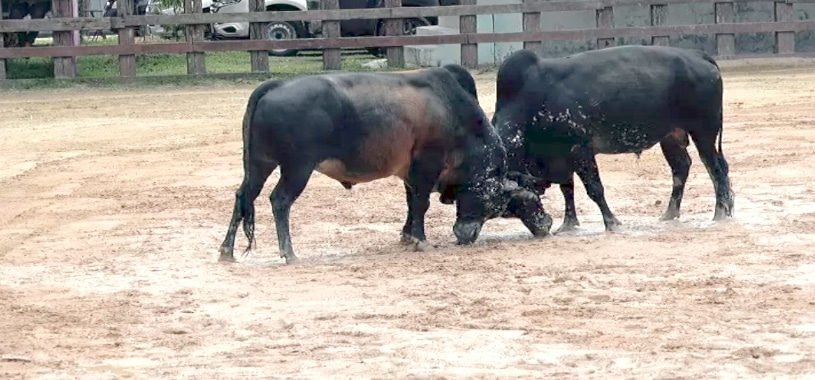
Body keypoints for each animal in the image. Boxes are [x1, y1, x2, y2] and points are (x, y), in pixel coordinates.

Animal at [217, 64, 552, 264]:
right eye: (496, 204)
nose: (545, 224)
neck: (453, 112)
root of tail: (274, 85)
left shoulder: (409, 172)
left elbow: (410, 203)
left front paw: (407, 235)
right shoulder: (426, 165)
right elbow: (420, 203)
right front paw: (420, 240)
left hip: (259, 165)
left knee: (243, 196)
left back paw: (226, 251)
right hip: (297, 167)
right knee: (280, 200)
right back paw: (289, 252)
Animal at [490, 46, 740, 233]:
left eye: (518, 201)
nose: (543, 227)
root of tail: (698, 55)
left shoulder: (580, 148)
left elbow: (594, 189)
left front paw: (612, 222)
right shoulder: (560, 156)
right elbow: (567, 189)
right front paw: (569, 224)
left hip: (704, 133)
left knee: (716, 170)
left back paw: (720, 213)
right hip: (671, 137)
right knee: (683, 168)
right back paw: (670, 213)